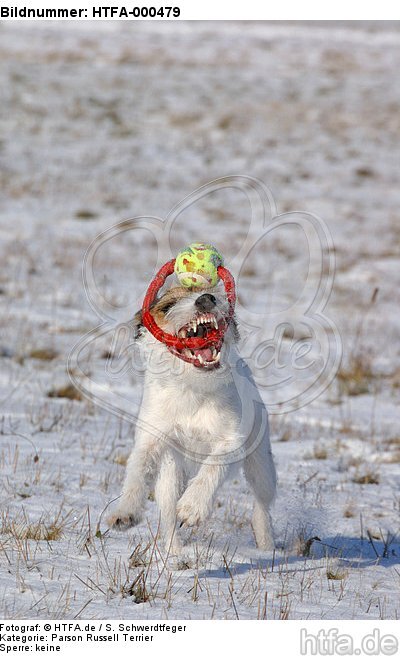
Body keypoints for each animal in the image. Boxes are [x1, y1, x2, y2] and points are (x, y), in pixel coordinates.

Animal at [109, 286, 278, 552]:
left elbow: (212, 468)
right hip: (169, 475)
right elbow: (137, 473)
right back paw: (173, 554)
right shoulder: (150, 440)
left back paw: (265, 542)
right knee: (168, 514)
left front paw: (192, 507)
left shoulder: (231, 441)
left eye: (211, 292)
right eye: (168, 305)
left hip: (261, 468)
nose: (206, 299)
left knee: (262, 505)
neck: (192, 387)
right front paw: (124, 513)